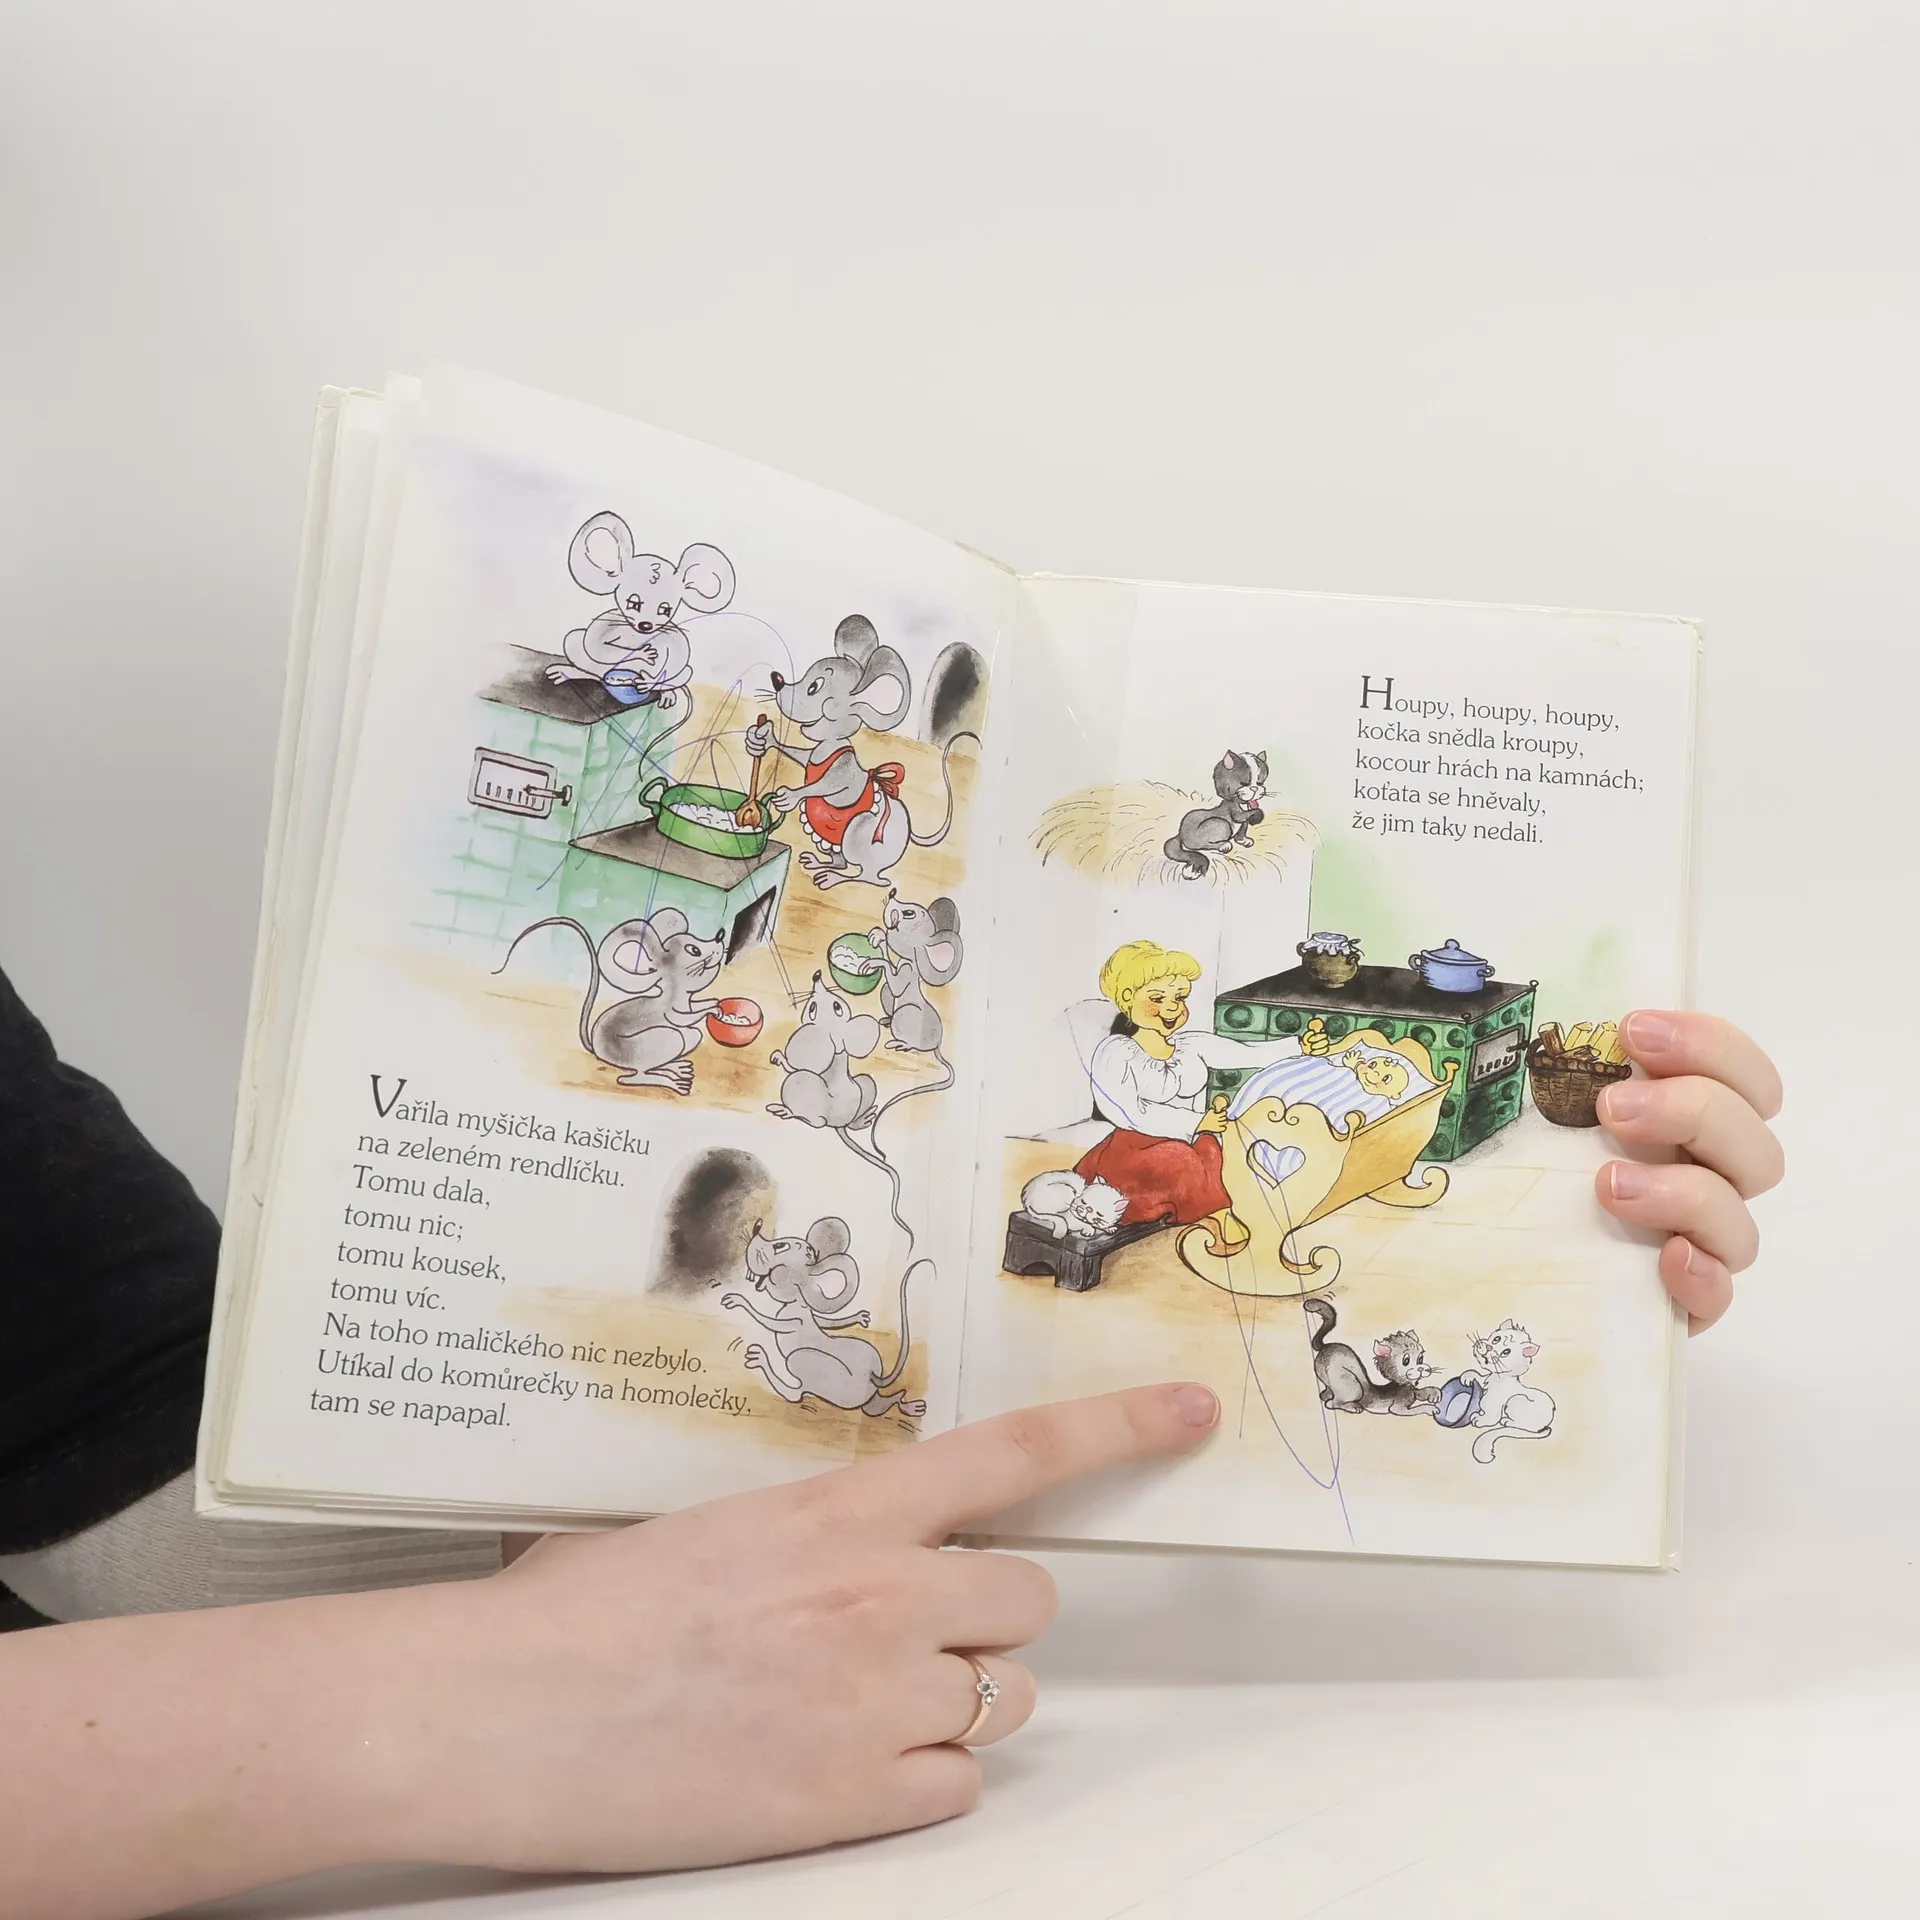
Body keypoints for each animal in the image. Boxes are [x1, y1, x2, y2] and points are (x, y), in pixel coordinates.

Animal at [1302, 1298, 1437, 1415]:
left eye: (1420, 1358)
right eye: (1406, 1360)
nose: (1421, 1368)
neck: (1403, 1385)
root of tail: (1325, 1346)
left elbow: (1421, 1392)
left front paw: (1434, 1393)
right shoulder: (1398, 1408)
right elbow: (1417, 1408)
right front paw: (1430, 1407)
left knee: (1326, 1394)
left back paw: (1327, 1394)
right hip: (1351, 1385)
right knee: (1332, 1404)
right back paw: (1353, 1407)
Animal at [1463, 1319, 1556, 1461]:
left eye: (1506, 1352)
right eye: (1496, 1339)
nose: (1489, 1348)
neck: (1497, 1378)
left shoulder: (1494, 1405)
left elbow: (1490, 1418)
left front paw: (1479, 1419)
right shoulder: (1485, 1380)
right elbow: (1477, 1375)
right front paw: (1467, 1376)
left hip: (1516, 1400)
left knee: (1526, 1427)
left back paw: (1506, 1421)